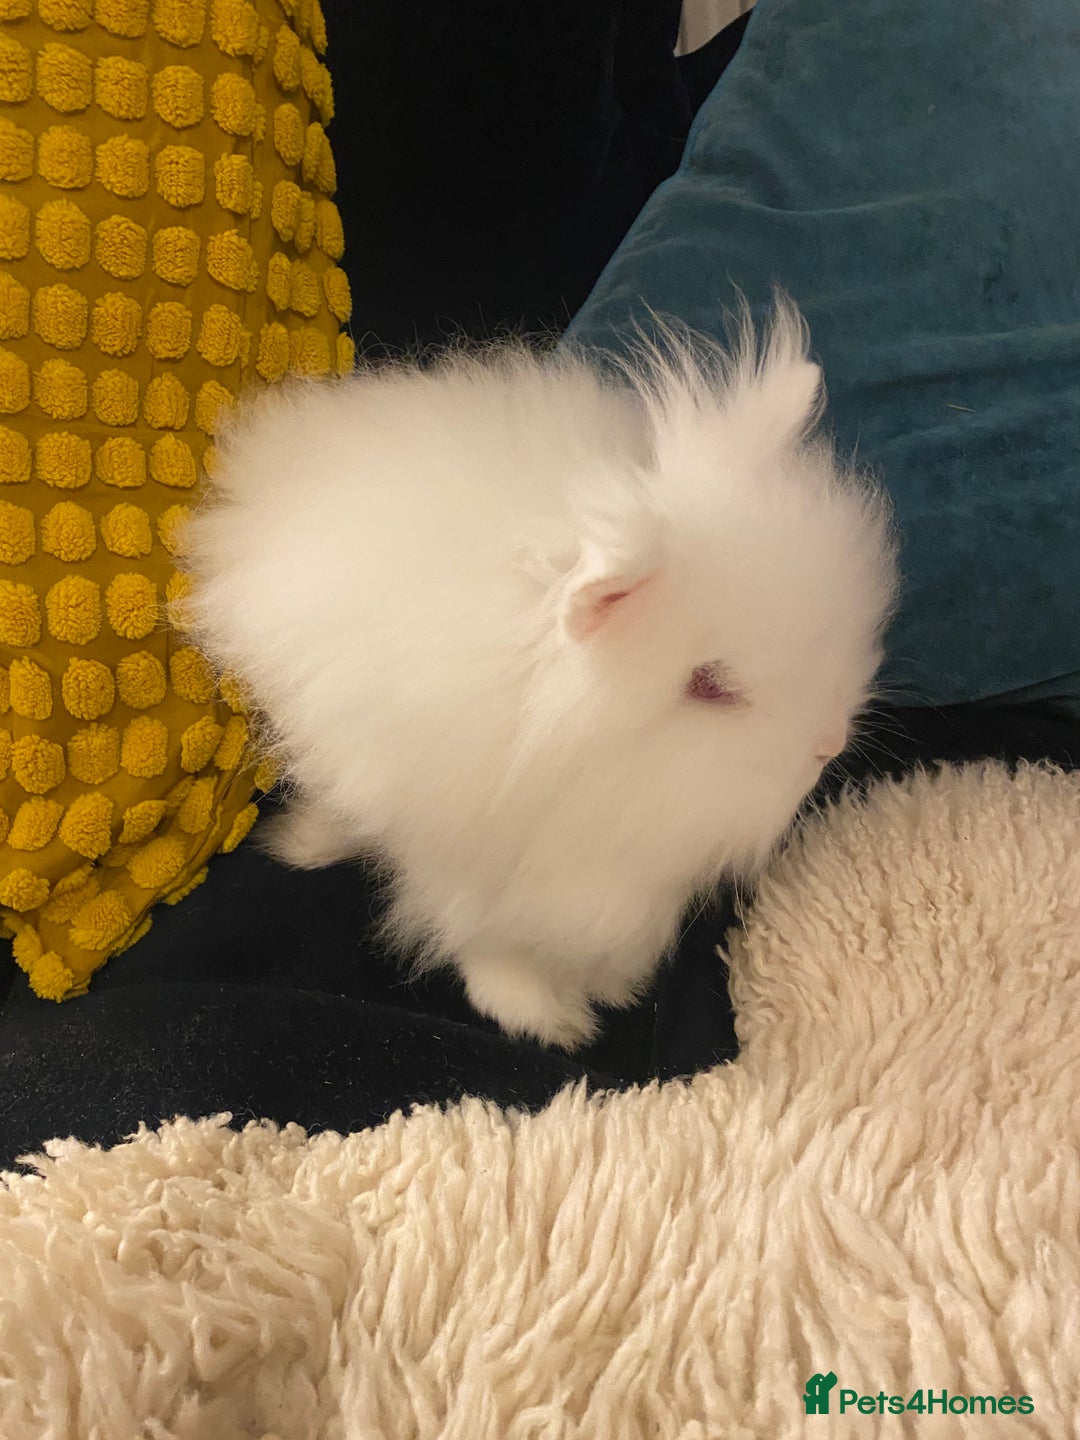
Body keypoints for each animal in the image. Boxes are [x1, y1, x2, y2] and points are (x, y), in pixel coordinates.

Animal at [182, 296, 898, 1049]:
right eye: (709, 686)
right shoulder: (464, 856)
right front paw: (543, 1019)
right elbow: (484, 940)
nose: (827, 747)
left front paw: (611, 986)